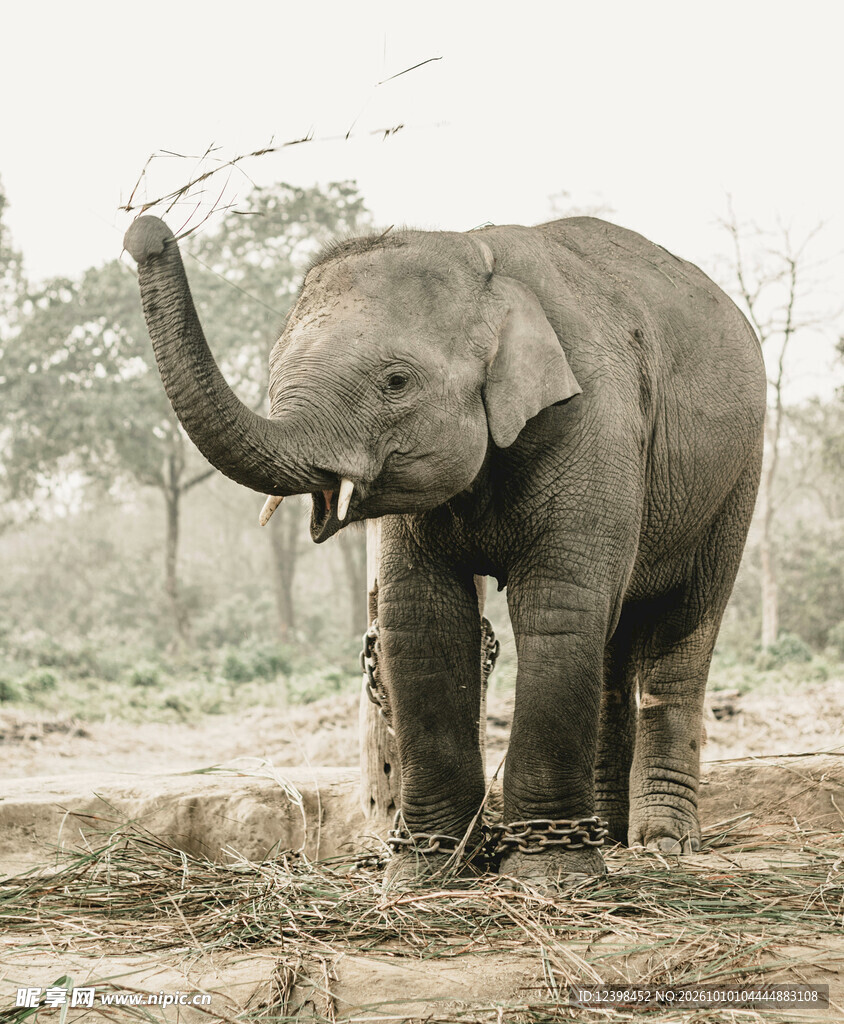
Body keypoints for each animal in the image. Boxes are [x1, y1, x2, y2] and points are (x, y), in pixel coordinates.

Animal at [124, 213, 766, 889]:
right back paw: (611, 837)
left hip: (737, 475)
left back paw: (662, 844)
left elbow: (558, 606)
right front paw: (427, 872)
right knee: (614, 642)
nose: (145, 232)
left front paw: (547, 875)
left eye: (396, 382)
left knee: (681, 626)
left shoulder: (596, 420)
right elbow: (421, 617)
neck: (476, 255)